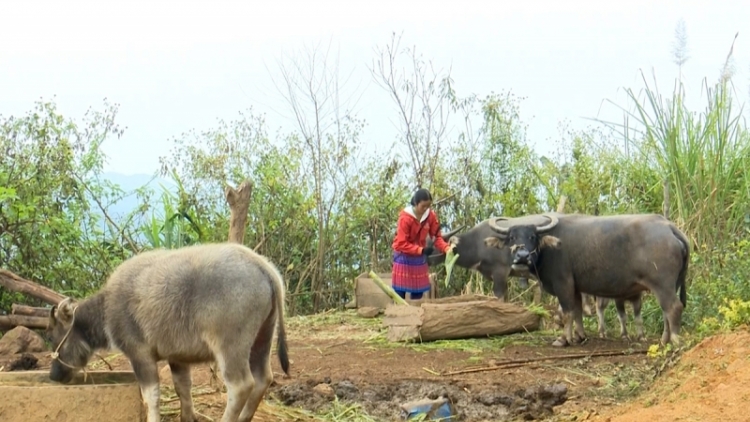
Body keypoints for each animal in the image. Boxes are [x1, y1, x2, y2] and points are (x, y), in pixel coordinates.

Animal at [45, 242, 290, 422]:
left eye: (54, 338)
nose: (53, 375)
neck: (107, 309)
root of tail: (262, 266)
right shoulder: (178, 358)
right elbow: (183, 389)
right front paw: (187, 417)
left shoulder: (139, 355)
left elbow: (151, 396)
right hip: (263, 338)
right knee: (263, 378)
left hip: (231, 346)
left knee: (241, 385)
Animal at [484, 213, 692, 348]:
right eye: (512, 237)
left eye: (532, 236)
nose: (522, 256)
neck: (550, 249)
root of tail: (670, 227)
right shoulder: (576, 288)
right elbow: (577, 312)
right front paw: (579, 336)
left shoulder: (563, 283)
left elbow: (567, 312)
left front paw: (563, 339)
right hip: (671, 284)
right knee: (666, 311)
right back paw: (664, 341)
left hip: (662, 284)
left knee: (673, 308)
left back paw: (674, 341)